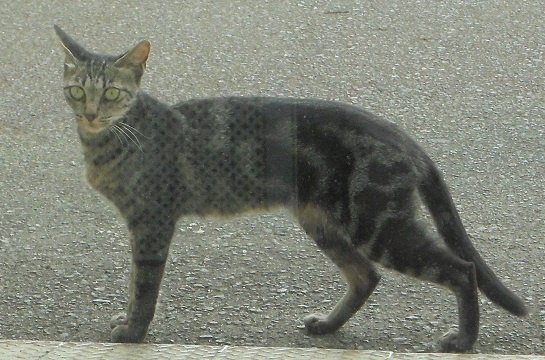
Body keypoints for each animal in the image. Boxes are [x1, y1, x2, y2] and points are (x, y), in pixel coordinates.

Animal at [53, 25, 524, 352]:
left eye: (112, 94)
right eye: (76, 90)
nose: (91, 113)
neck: (112, 138)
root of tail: (401, 135)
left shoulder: (152, 222)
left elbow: (144, 284)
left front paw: (133, 331)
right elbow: (136, 281)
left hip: (378, 225)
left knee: (461, 269)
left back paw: (463, 341)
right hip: (324, 222)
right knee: (365, 276)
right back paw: (328, 326)